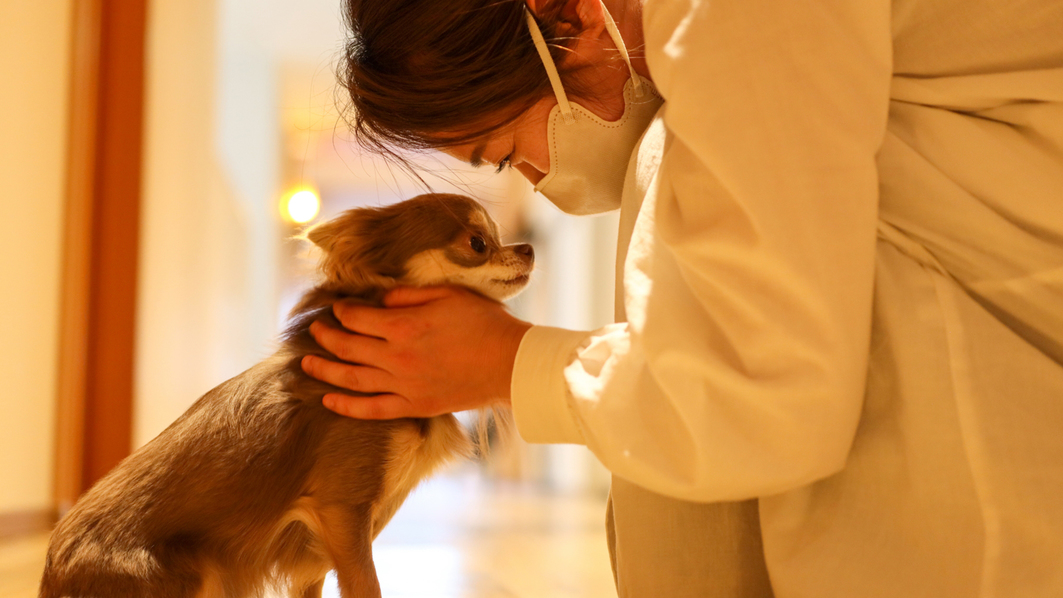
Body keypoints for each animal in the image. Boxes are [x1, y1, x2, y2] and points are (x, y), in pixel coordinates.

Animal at [39, 194, 540, 594]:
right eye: (478, 243)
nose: (529, 247)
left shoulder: (316, 556)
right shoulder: (341, 514)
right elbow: (368, 587)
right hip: (197, 575)